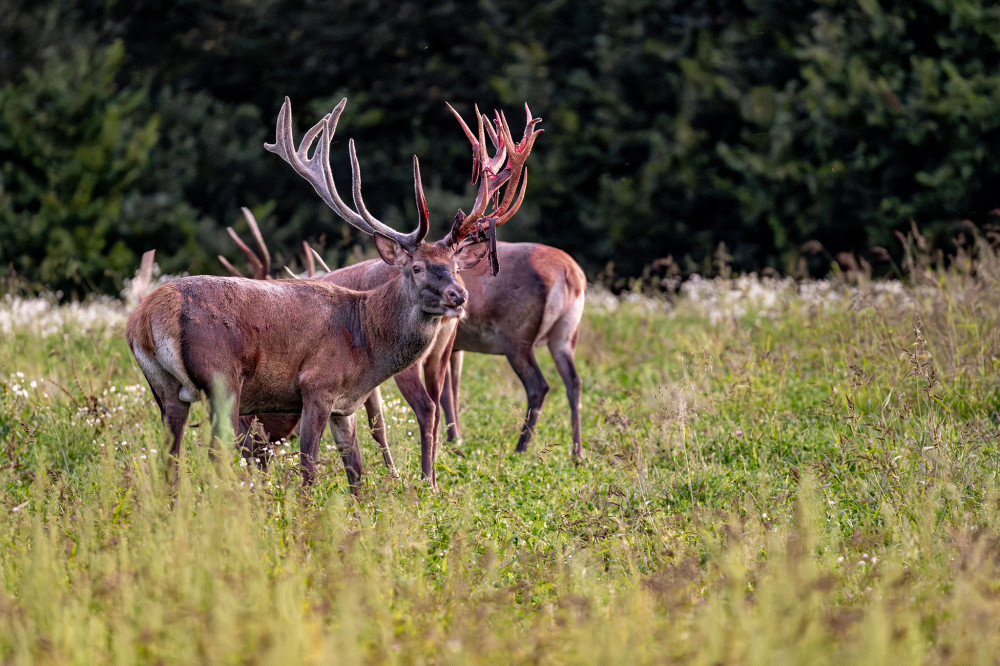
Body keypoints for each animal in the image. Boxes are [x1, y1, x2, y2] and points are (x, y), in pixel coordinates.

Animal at [125, 98, 492, 492]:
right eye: (418, 267)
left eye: (455, 266)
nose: (459, 296)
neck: (366, 339)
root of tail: (146, 317)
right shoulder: (317, 386)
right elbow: (308, 469)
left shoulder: (344, 406)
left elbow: (356, 472)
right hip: (222, 380)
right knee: (216, 457)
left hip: (164, 389)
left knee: (171, 461)